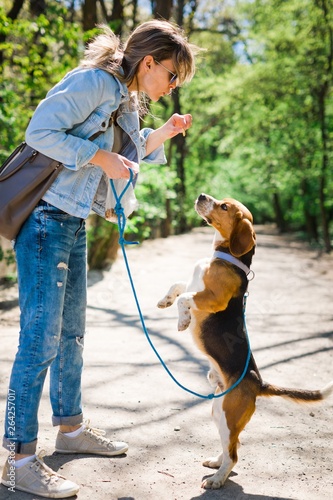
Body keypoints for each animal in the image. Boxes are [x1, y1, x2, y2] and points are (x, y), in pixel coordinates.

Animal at [156, 194, 332, 488]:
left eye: (224, 206)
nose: (201, 196)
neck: (226, 256)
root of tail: (258, 382)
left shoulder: (213, 298)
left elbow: (186, 298)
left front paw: (183, 320)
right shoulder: (192, 283)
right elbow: (178, 286)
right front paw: (165, 300)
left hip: (229, 413)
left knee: (235, 454)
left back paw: (217, 479)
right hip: (219, 411)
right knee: (232, 445)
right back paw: (216, 463)